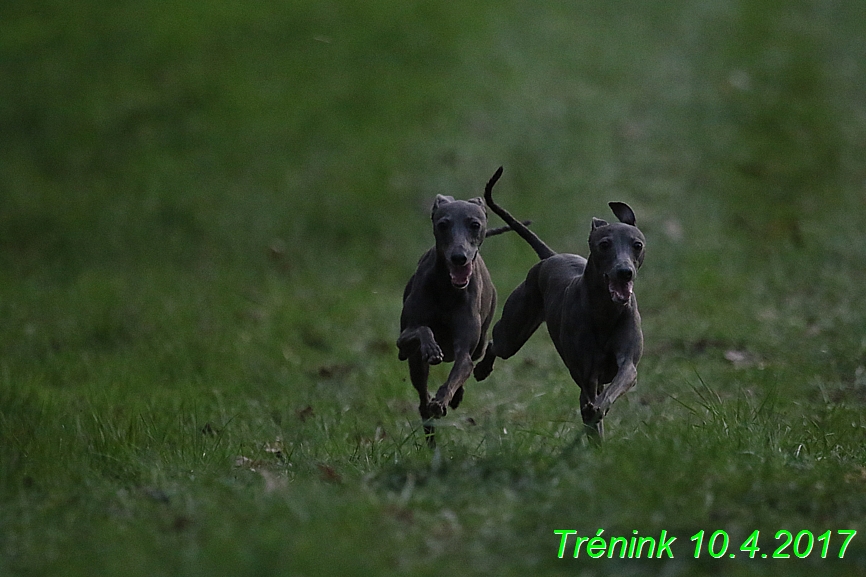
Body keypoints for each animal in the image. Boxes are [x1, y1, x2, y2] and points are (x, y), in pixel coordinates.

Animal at [472, 169, 640, 438]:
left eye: (637, 245)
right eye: (604, 244)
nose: (624, 272)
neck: (605, 311)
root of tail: (551, 256)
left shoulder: (627, 364)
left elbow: (618, 383)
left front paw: (600, 407)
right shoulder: (586, 373)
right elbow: (588, 401)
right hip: (513, 332)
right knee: (496, 343)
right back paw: (482, 369)